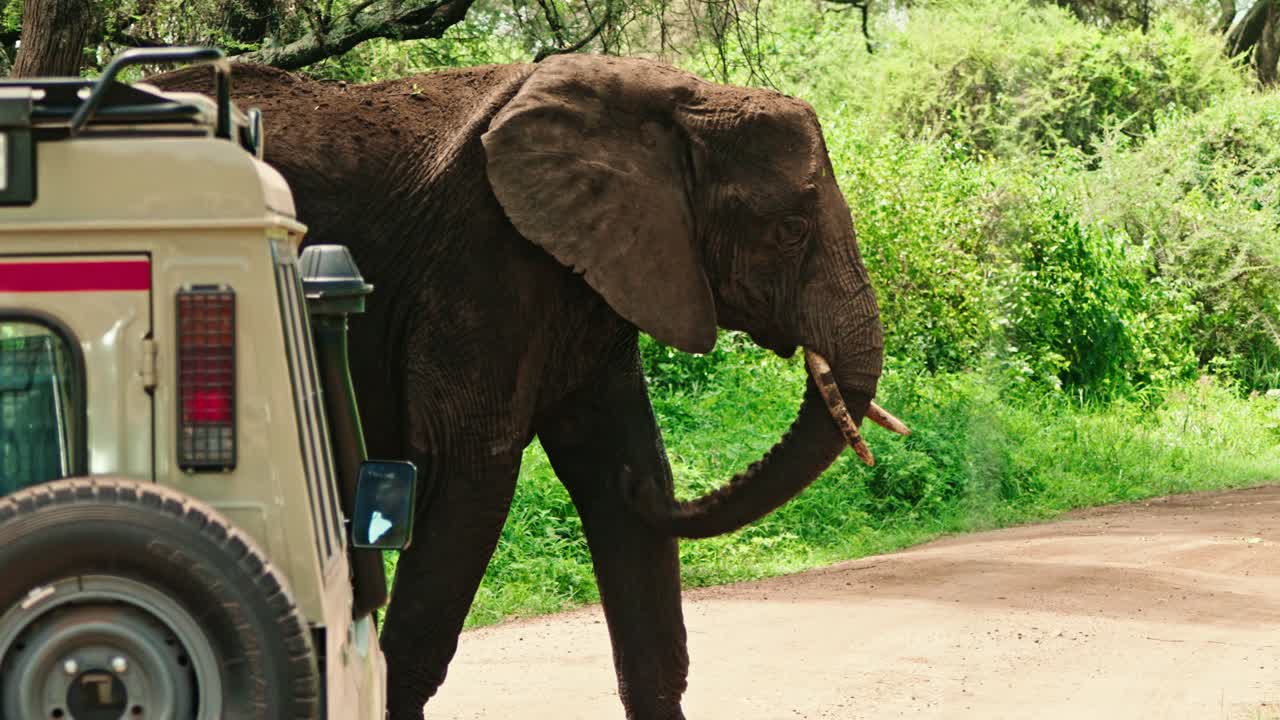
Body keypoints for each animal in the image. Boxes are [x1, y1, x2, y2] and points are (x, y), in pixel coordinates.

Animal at [154, 54, 905, 719]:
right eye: (791, 229)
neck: (676, 95)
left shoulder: (595, 271)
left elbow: (611, 467)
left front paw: (631, 481)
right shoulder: (483, 259)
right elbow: (472, 471)